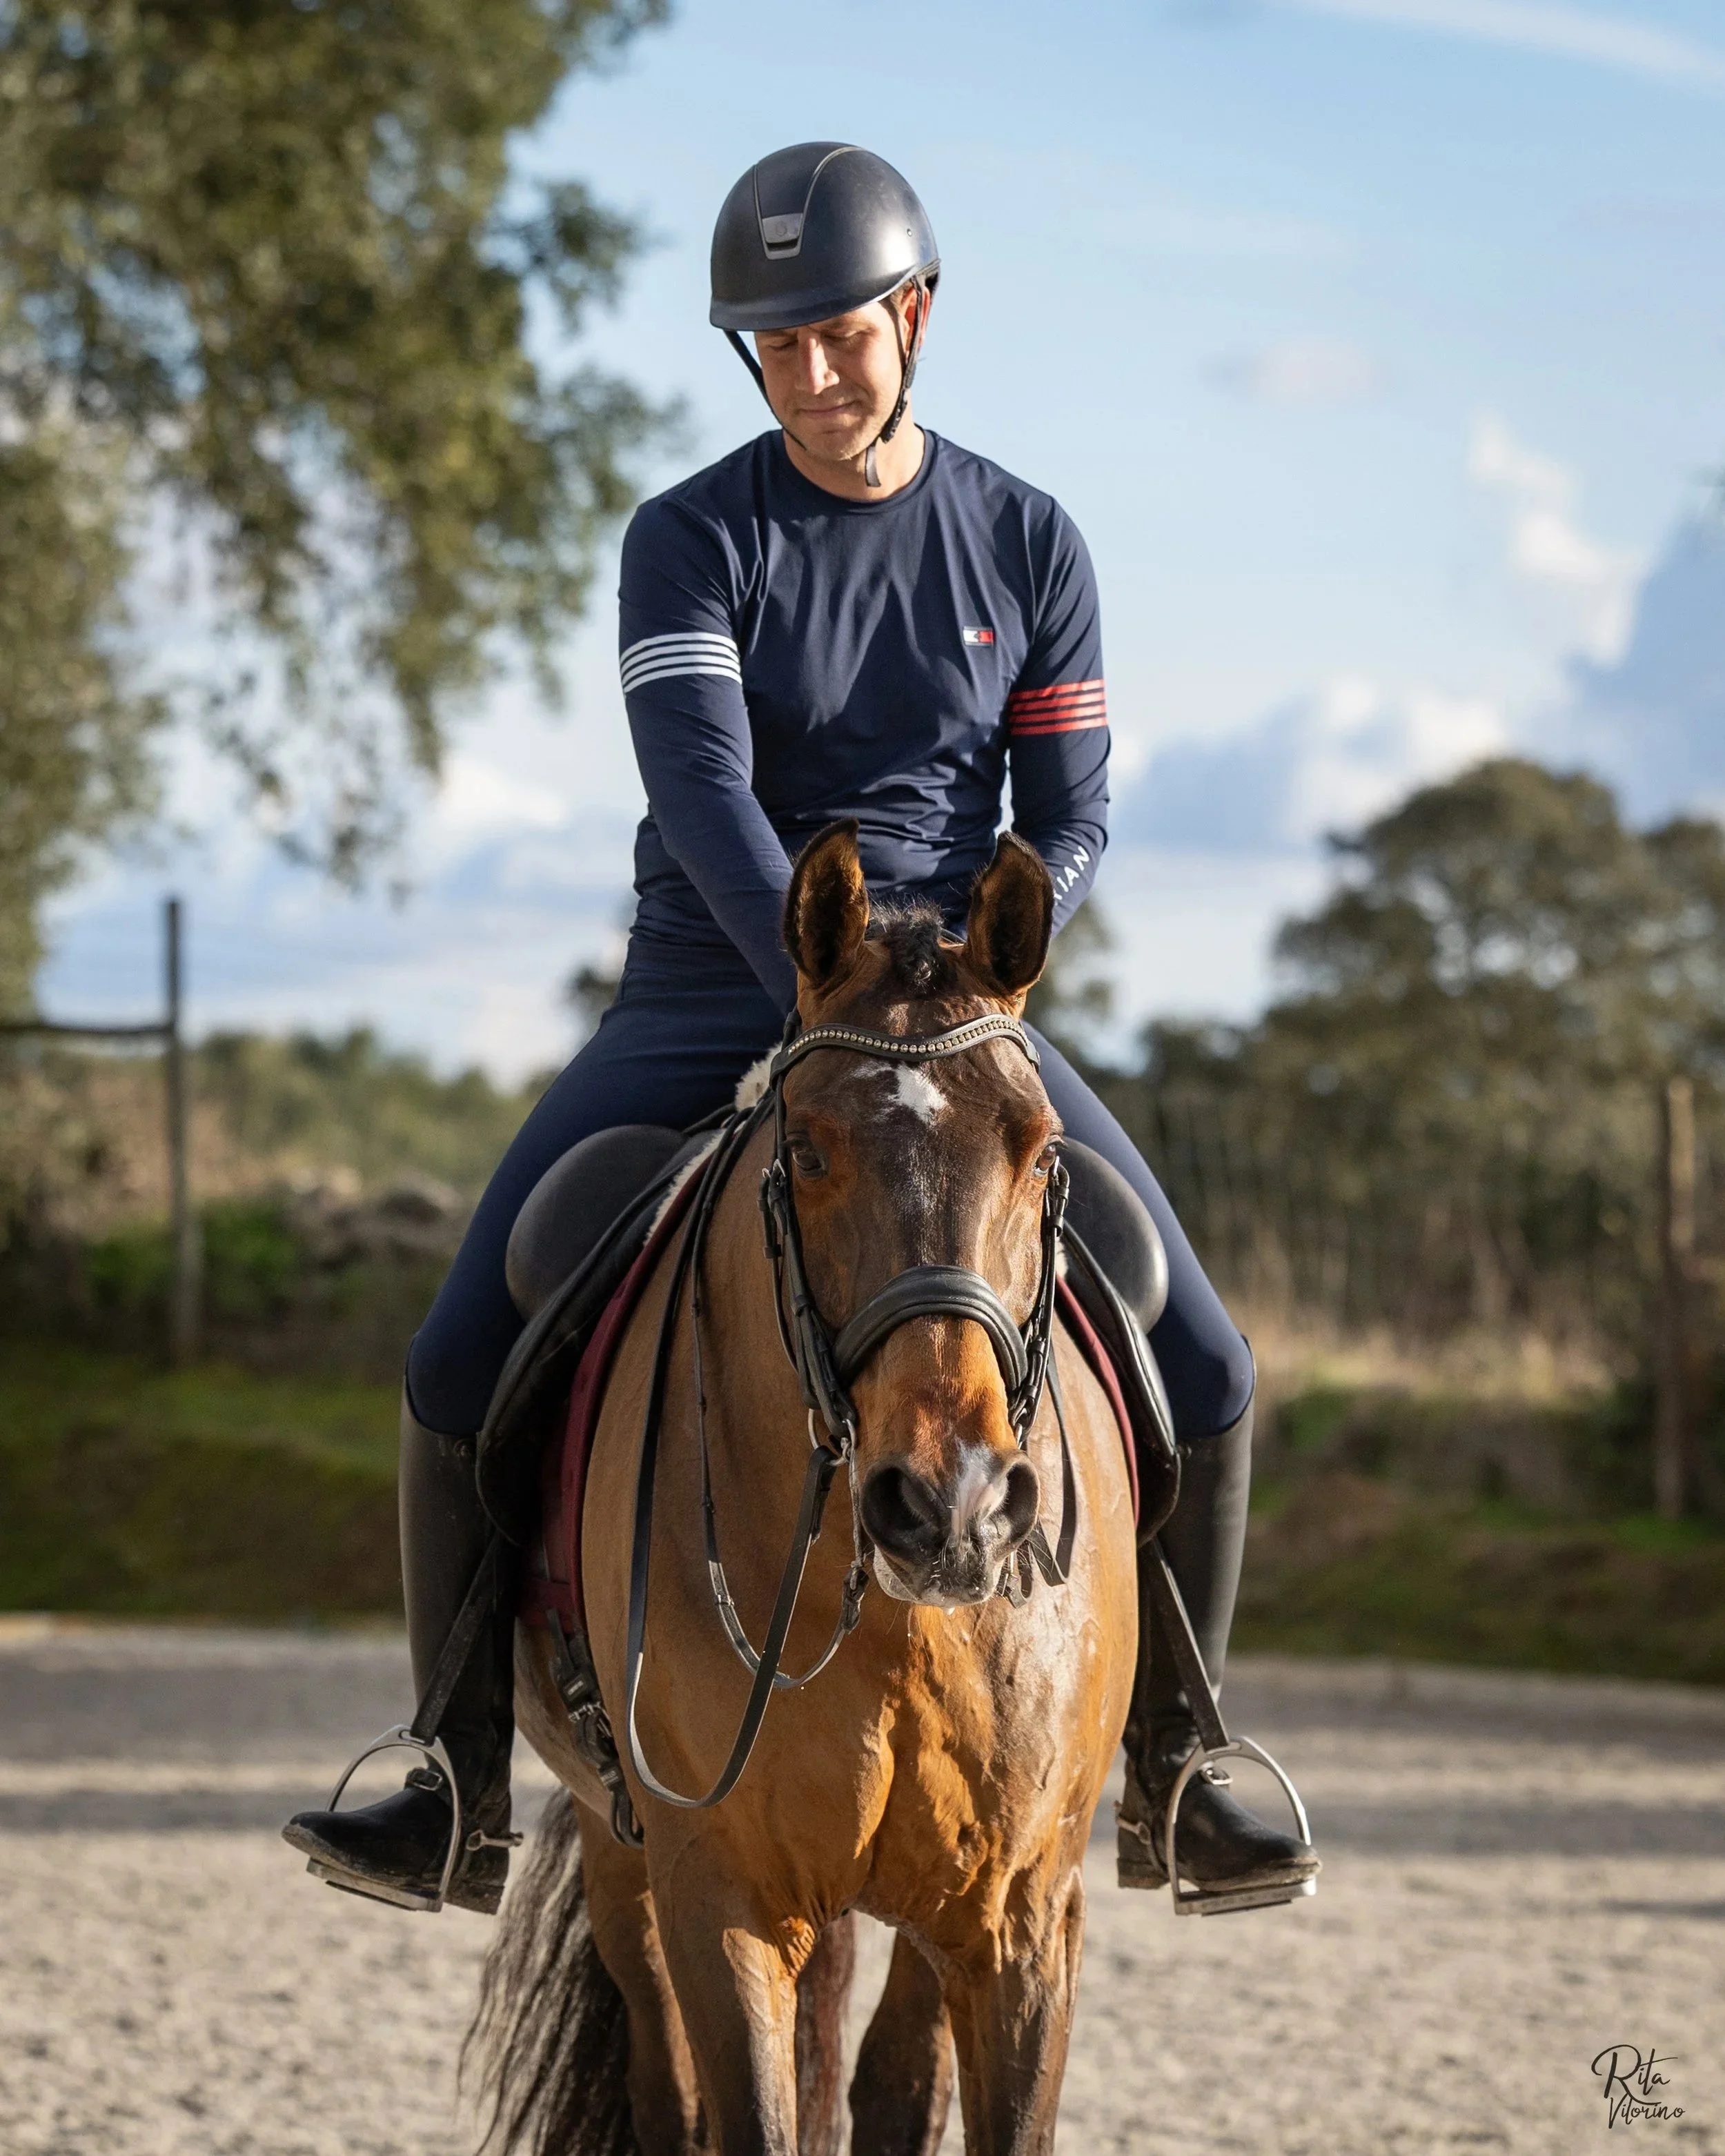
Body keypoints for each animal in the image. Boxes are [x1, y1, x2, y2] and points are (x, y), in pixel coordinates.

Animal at [469, 824, 1141, 2156]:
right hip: (626, 1862)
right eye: (810, 1148)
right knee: (669, 2096)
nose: (952, 1508)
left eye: (1041, 1150)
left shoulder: (1021, 1919)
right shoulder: (720, 1901)